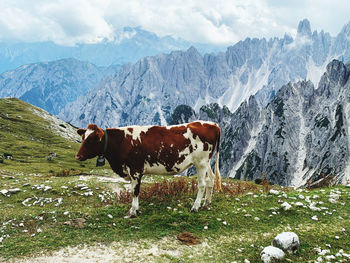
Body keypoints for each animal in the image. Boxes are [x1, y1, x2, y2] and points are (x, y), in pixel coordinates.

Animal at [75, 120, 221, 218]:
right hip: (206, 162)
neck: (122, 142)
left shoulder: (135, 170)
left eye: (91, 140)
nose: (77, 156)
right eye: (83, 138)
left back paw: (195, 207)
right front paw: (135, 209)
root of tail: (213, 124)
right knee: (211, 180)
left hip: (200, 162)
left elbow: (135, 191)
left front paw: (133, 211)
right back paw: (206, 203)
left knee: (202, 184)